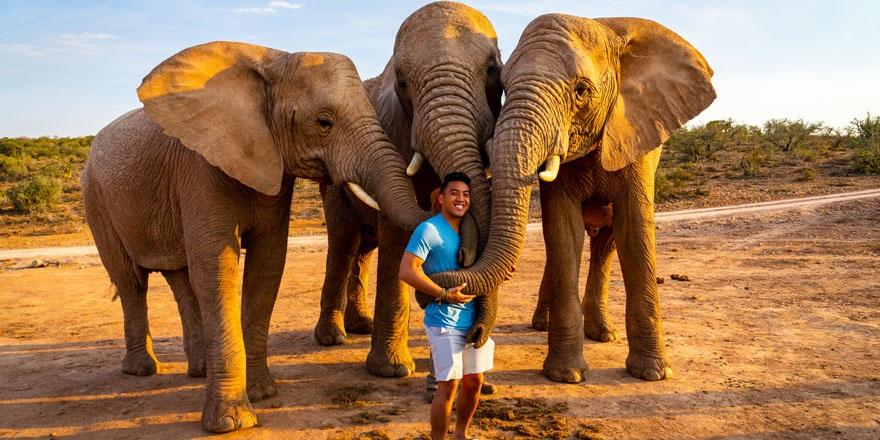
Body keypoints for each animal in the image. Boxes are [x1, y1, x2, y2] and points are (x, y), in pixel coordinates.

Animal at [81, 42, 426, 434]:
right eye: (324, 122)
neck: (274, 60)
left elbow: (268, 264)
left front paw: (263, 394)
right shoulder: (201, 167)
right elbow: (218, 269)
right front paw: (231, 422)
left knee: (180, 280)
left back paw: (198, 371)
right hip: (96, 199)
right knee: (131, 281)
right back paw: (142, 370)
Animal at [314, 0, 502, 378]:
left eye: (492, 70)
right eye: (402, 81)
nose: (476, 335)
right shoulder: (395, 131)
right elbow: (398, 238)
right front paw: (392, 371)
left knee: (363, 248)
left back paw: (362, 327)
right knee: (345, 242)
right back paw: (332, 338)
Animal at [430, 15, 720, 384]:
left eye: (581, 91)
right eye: (504, 86)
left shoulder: (636, 133)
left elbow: (635, 230)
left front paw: (653, 373)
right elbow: (563, 231)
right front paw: (566, 375)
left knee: (606, 244)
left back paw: (602, 333)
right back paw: (544, 325)